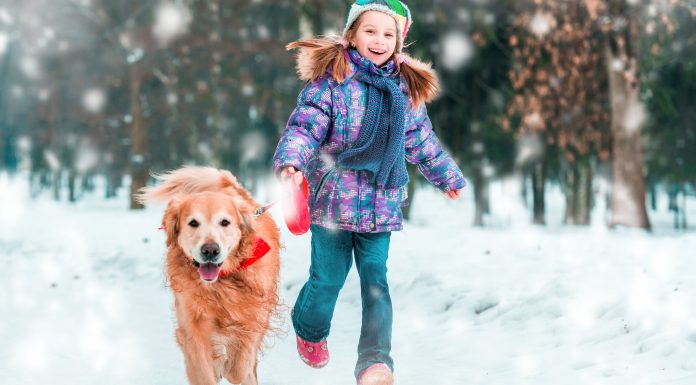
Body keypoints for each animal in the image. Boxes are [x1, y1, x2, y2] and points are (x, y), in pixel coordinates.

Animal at [139, 166, 280, 384]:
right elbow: (203, 369)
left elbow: (241, 362)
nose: (210, 250)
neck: (220, 283)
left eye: (225, 222)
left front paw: (231, 367)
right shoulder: (193, 326)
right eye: (193, 223)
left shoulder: (255, 314)